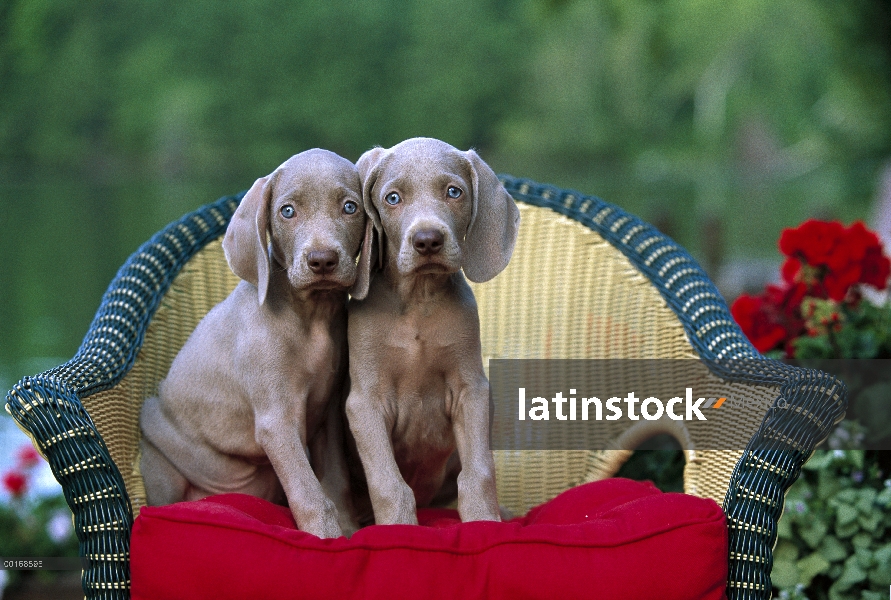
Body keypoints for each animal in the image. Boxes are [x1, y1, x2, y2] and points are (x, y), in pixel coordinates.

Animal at [139, 148, 372, 536]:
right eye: (287, 211)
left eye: (350, 207)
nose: (322, 260)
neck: (311, 316)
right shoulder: (276, 420)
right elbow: (308, 491)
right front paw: (324, 536)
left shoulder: (328, 415)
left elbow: (334, 481)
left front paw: (348, 529)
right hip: (160, 467)